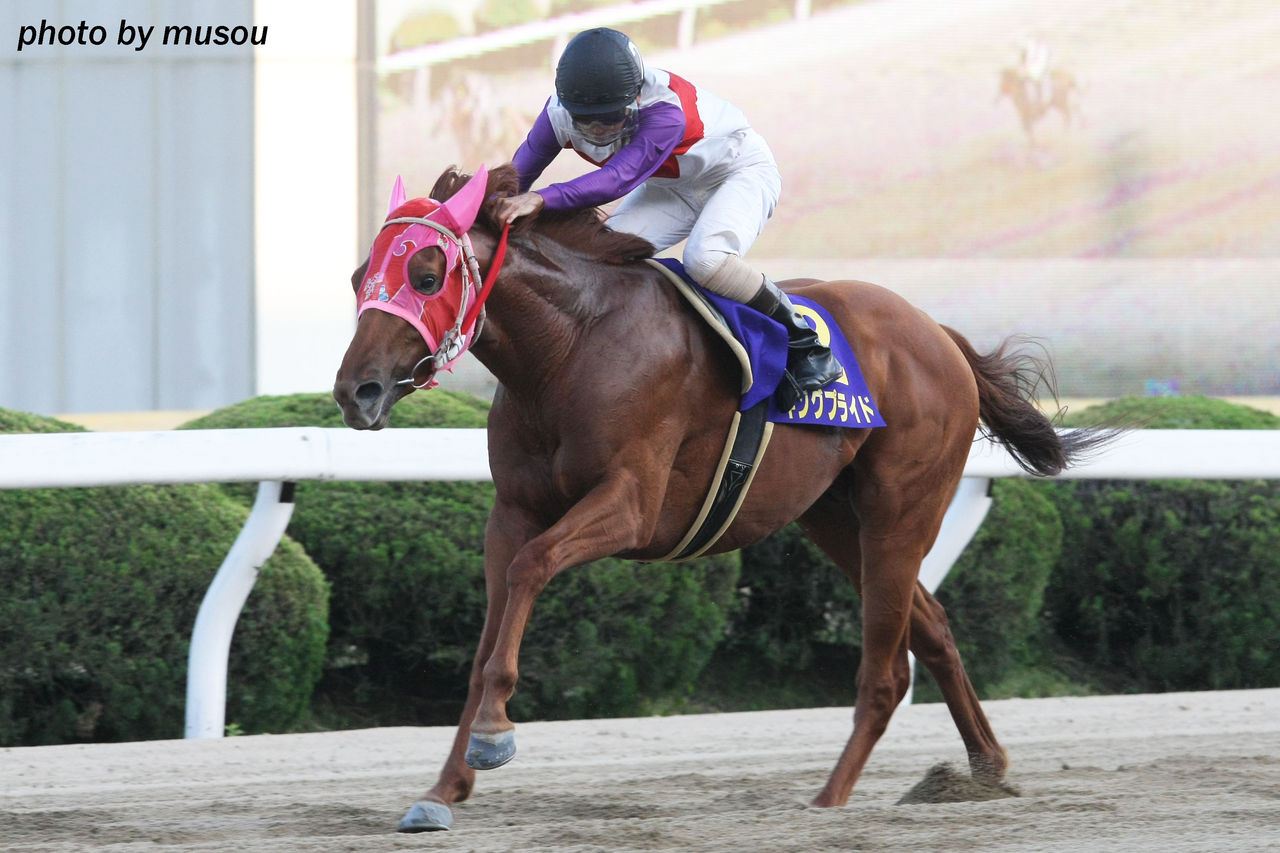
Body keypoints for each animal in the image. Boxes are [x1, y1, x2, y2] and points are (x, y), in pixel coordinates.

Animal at [332, 164, 1111, 832]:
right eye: (359, 276)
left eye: (427, 274)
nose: (354, 391)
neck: (568, 348)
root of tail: (939, 334)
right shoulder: (512, 511)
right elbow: (487, 635)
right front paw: (442, 789)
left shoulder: (629, 504)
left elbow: (531, 570)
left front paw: (495, 734)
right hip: (836, 519)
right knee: (936, 628)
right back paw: (983, 768)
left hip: (901, 511)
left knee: (888, 670)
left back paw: (830, 799)